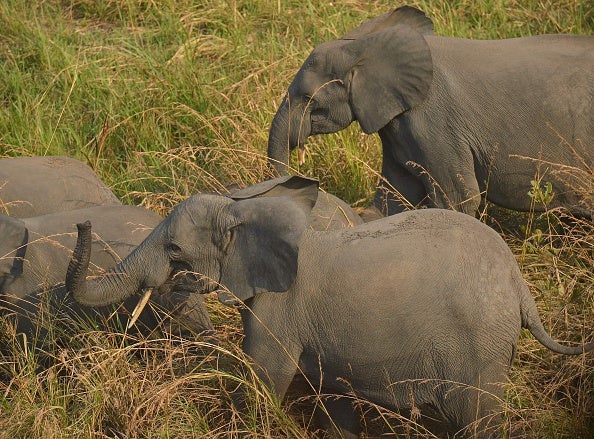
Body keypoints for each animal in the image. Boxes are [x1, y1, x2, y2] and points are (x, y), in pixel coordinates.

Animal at [65, 176, 592, 439]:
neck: (244, 208)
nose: (82, 222)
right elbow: (331, 392)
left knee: (475, 418)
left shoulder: (280, 307)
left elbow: (267, 375)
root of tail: (518, 283)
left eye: (174, 250)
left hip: (478, 343)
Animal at [268, 3, 592, 217]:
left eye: (308, 99)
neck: (365, 46)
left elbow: (458, 199)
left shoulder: (433, 122)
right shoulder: (398, 125)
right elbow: (394, 196)